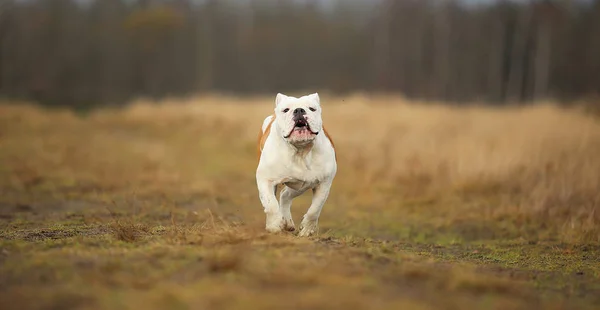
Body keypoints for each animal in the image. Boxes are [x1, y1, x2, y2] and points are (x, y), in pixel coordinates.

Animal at [254, 93, 338, 236]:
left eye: (312, 108)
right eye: (286, 110)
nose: (299, 110)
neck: (300, 150)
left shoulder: (324, 184)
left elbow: (315, 209)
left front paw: (307, 229)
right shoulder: (265, 179)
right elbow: (271, 205)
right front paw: (274, 226)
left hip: (301, 185)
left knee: (285, 195)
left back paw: (287, 222)